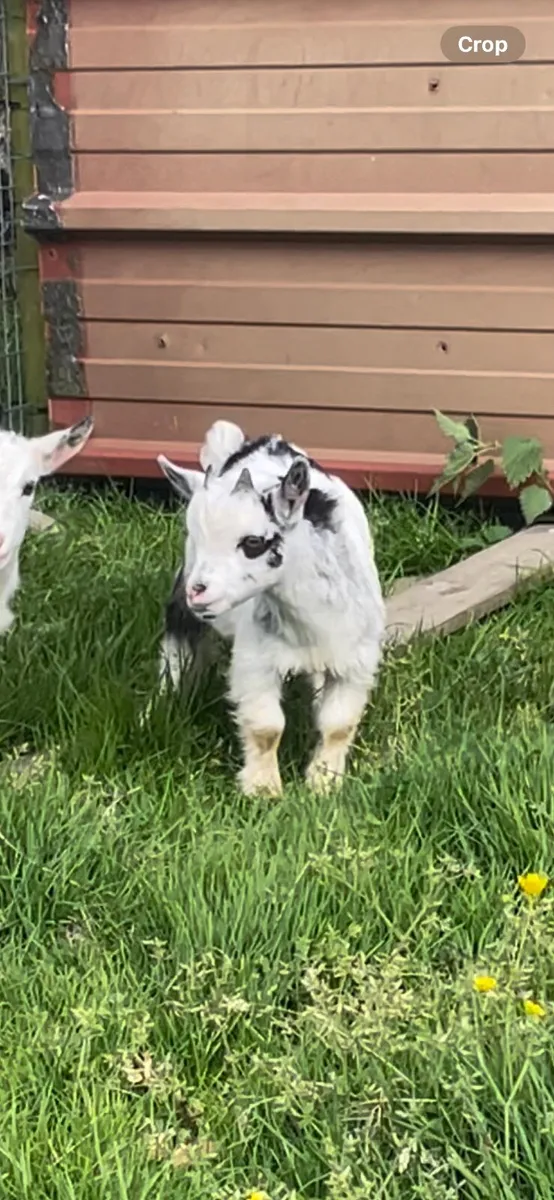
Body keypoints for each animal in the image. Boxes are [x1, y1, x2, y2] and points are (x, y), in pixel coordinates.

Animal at [156, 420, 385, 797]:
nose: (199, 594)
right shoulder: (256, 661)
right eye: (196, 537)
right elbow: (267, 727)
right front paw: (263, 790)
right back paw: (163, 702)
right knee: (178, 638)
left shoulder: (356, 661)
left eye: (252, 542)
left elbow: (338, 724)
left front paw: (324, 783)